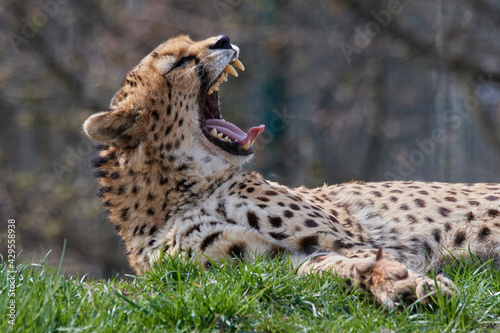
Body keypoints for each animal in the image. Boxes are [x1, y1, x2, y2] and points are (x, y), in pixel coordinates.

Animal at [84, 35, 500, 308]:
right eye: (180, 62)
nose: (224, 39)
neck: (182, 188)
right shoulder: (253, 266)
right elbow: (315, 268)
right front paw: (401, 285)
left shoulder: (350, 240)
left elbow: (365, 257)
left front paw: (405, 284)